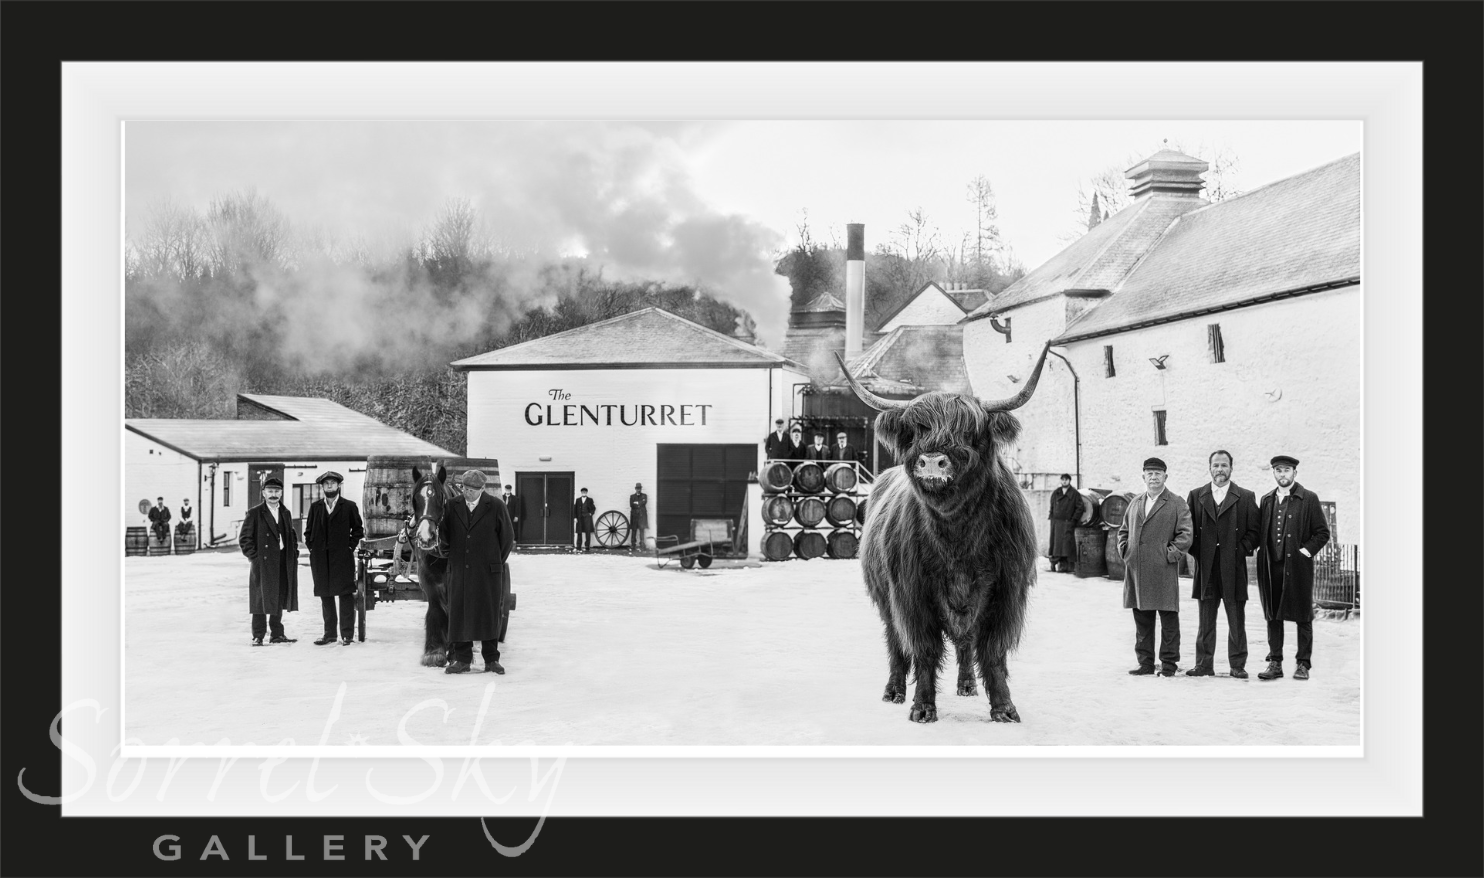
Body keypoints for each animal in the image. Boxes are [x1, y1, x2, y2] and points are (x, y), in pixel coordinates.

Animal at [842, 341, 1050, 720]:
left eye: (969, 431)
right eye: (916, 430)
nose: (932, 461)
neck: (958, 535)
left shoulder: (1007, 593)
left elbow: (992, 652)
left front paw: (1004, 708)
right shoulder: (911, 593)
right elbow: (924, 650)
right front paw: (922, 707)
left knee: (965, 644)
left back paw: (967, 685)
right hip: (884, 600)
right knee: (896, 642)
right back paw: (893, 691)